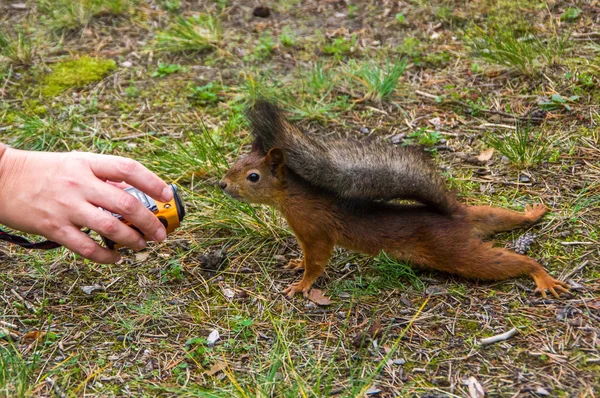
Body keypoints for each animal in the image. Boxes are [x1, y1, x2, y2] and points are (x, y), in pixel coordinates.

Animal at [218, 99, 568, 298]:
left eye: (253, 177)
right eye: (235, 162)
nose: (222, 185)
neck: (293, 198)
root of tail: (455, 219)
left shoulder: (316, 231)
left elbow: (316, 261)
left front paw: (302, 286)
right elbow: (306, 258)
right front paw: (295, 263)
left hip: (455, 253)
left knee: (504, 262)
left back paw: (539, 274)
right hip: (477, 216)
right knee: (500, 216)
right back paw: (533, 214)